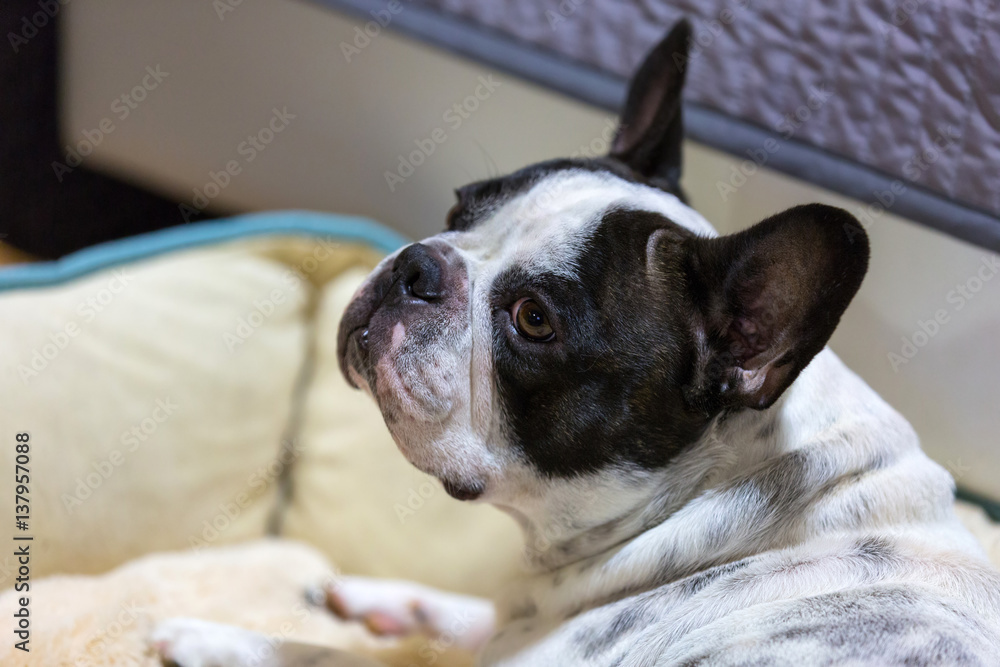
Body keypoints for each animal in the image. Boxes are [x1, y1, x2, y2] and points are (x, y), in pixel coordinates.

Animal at [152, 18, 1000, 664]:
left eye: (533, 320)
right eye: (460, 208)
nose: (415, 266)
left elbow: (334, 658)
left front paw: (214, 637)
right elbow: (476, 612)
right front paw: (385, 597)